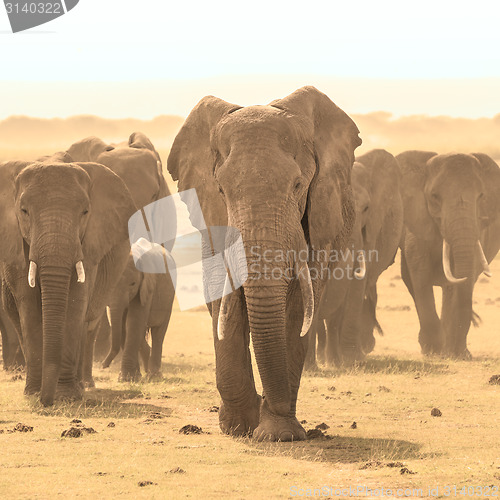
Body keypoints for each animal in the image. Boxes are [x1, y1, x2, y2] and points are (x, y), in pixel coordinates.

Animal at [0, 158, 136, 404]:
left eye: (85, 212)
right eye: (24, 211)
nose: (46, 402)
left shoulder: (89, 246)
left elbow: (75, 303)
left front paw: (66, 396)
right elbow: (28, 305)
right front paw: (34, 393)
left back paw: (81, 387)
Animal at [167, 86, 360, 442]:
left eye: (297, 186)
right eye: (221, 189)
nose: (269, 405)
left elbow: (298, 305)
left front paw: (277, 433)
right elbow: (223, 296)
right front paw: (239, 427)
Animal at [398, 150, 500, 358]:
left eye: (481, 196)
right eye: (434, 196)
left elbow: (468, 272)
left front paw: (458, 354)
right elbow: (419, 270)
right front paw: (433, 351)